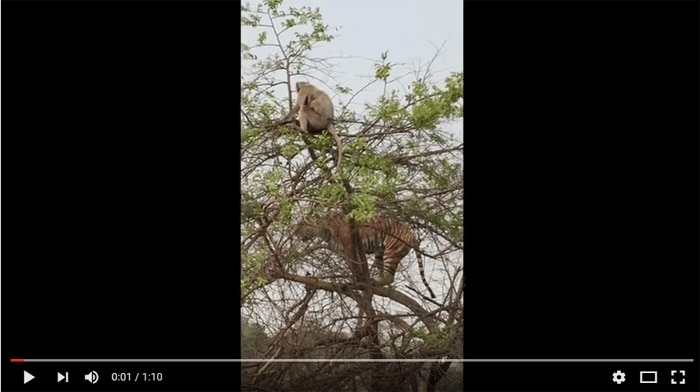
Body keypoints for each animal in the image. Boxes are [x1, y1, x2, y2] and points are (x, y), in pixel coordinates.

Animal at [292, 213, 434, 298]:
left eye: (302, 225)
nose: (294, 233)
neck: (324, 230)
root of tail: (412, 235)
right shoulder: (344, 252)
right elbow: (352, 264)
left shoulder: (350, 247)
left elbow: (355, 265)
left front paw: (358, 279)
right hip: (380, 253)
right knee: (384, 273)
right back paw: (373, 281)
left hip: (391, 252)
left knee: (390, 277)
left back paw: (374, 281)